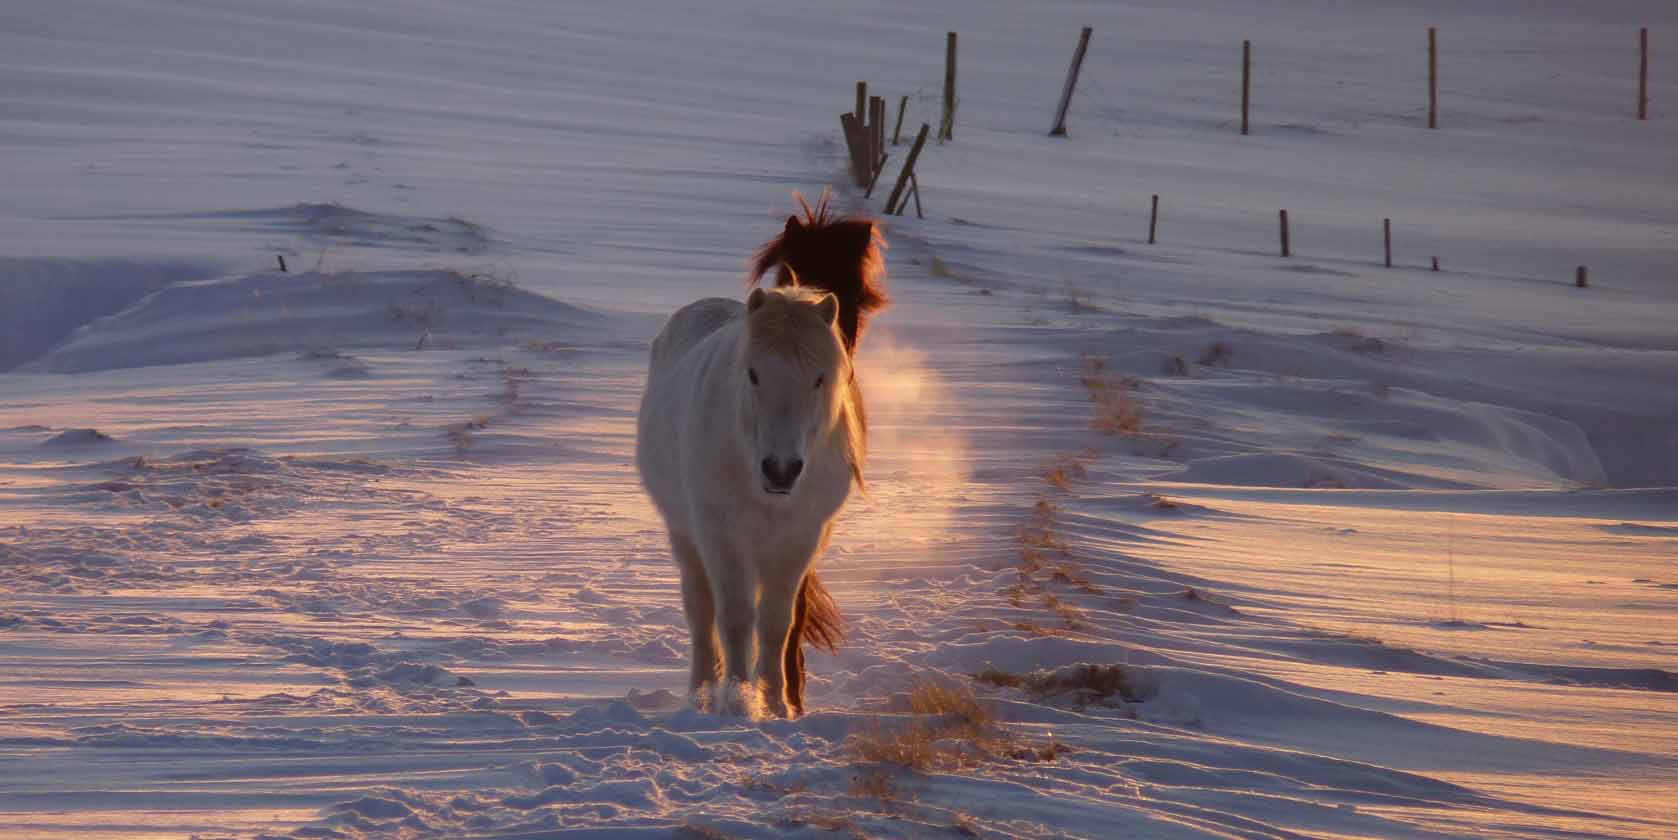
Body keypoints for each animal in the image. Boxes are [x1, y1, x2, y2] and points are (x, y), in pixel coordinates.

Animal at [630, 285, 859, 717]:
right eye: (753, 374)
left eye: (819, 379)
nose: (781, 470)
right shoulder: (723, 538)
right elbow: (735, 619)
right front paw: (737, 703)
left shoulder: (797, 542)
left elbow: (775, 623)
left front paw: (774, 704)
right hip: (686, 536)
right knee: (701, 613)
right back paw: (702, 694)